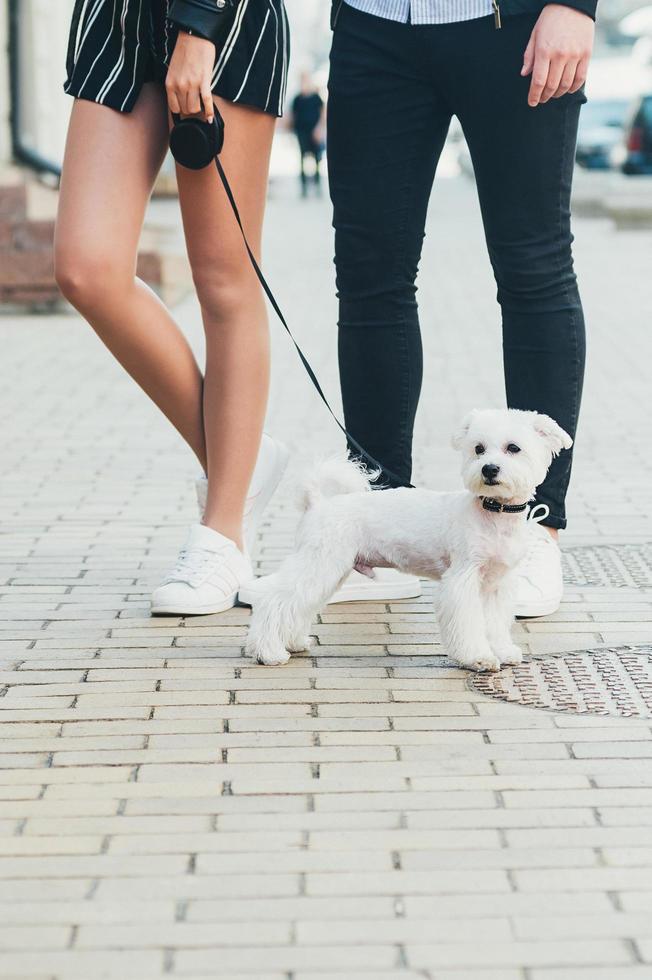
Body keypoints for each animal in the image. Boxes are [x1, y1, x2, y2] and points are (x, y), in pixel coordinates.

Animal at [244, 408, 572, 672]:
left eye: (513, 448)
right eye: (478, 448)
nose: (489, 469)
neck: (494, 513)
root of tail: (317, 503)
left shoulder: (496, 585)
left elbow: (495, 624)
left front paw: (502, 651)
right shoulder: (463, 580)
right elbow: (469, 624)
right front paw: (477, 657)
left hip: (327, 570)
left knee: (298, 607)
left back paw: (292, 642)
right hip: (318, 563)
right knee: (274, 601)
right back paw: (268, 652)